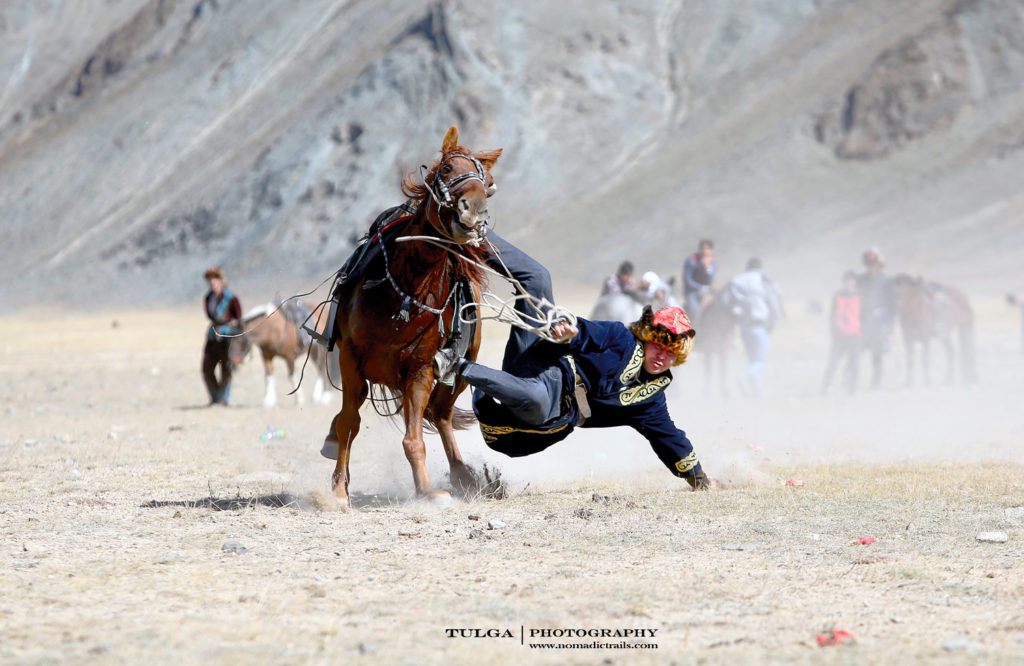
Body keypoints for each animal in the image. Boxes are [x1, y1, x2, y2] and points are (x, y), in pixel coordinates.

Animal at [323, 126, 499, 504]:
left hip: (459, 372)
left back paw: (463, 475)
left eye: (489, 183)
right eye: (446, 169)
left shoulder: (420, 369)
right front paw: (340, 490)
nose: (474, 214)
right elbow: (348, 424)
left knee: (442, 415)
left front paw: (427, 492)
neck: (408, 290)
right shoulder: (350, 358)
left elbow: (413, 439)